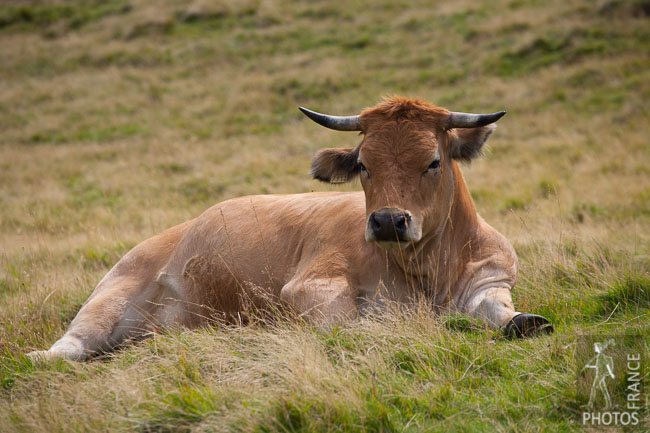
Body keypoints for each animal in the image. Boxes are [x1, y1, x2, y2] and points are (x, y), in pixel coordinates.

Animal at [26, 95, 552, 362]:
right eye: (364, 164)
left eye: (434, 161)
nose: (387, 220)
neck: (427, 272)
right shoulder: (310, 284)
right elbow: (349, 324)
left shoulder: (492, 279)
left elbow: (505, 315)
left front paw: (524, 322)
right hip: (109, 299)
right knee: (68, 349)